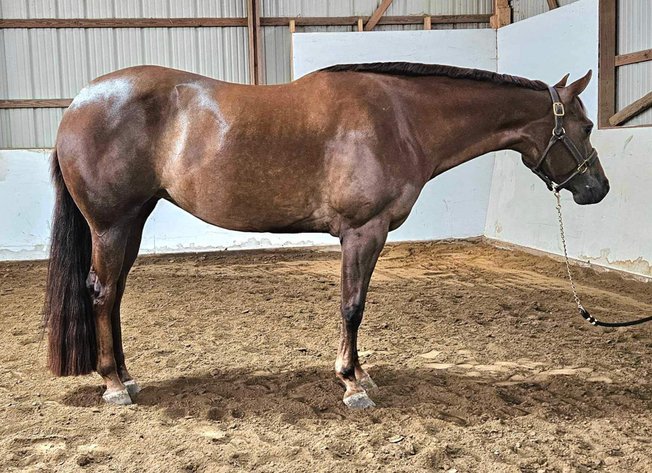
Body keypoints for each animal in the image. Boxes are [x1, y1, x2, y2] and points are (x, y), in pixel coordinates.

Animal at [43, 62, 609, 408]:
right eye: (585, 128)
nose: (598, 188)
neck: (400, 118)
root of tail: (78, 104)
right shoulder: (363, 232)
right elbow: (352, 306)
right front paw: (352, 384)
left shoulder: (365, 236)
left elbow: (355, 305)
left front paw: (361, 373)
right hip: (112, 224)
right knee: (102, 292)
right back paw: (113, 383)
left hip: (132, 222)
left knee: (115, 295)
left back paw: (125, 375)